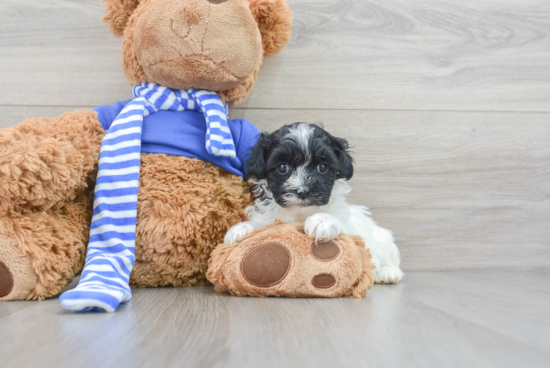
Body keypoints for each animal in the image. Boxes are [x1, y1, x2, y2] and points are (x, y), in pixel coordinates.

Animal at [225, 122, 406, 284]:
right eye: (283, 167)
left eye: (322, 167)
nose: (303, 191)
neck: (300, 214)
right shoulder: (269, 218)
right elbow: (261, 225)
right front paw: (240, 229)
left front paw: (322, 221)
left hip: (382, 240)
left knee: (390, 257)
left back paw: (387, 273)